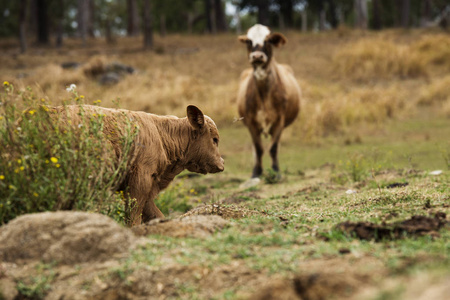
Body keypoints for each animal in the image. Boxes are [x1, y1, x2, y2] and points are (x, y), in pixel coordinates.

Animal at [237, 24, 300, 178]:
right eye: (249, 41)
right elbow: (259, 148)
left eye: (268, 40)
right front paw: (256, 172)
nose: (257, 56)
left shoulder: (279, 121)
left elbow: (273, 148)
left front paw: (276, 171)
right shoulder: (251, 123)